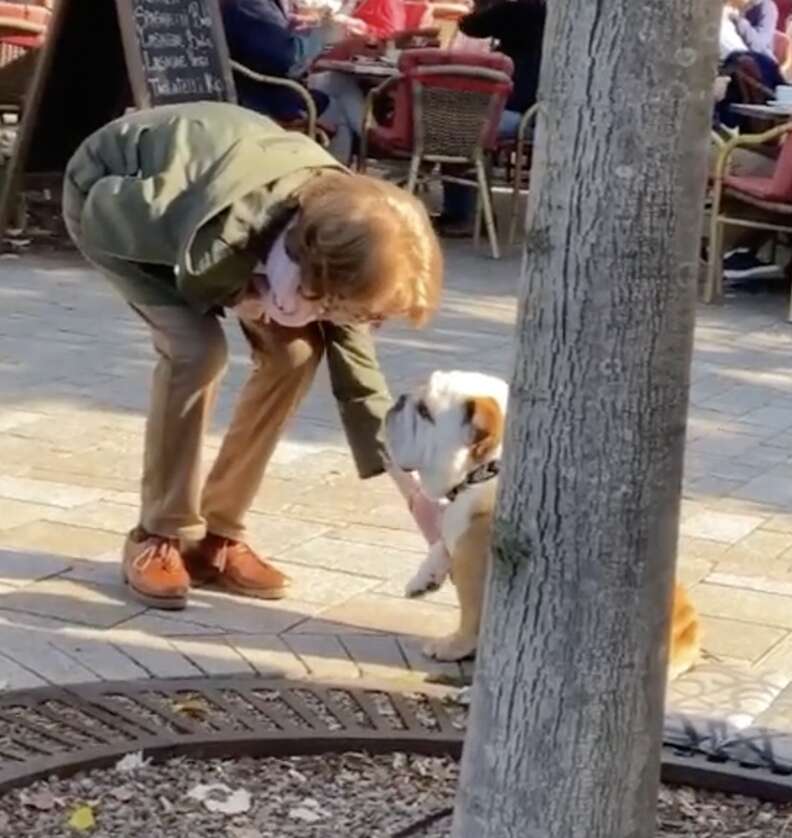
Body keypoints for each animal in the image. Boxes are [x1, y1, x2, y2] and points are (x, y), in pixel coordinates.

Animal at [386, 370, 510, 660]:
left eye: (425, 411)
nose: (401, 399)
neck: (482, 471)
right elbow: (440, 543)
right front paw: (424, 579)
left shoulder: (470, 556)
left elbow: (471, 613)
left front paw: (454, 645)